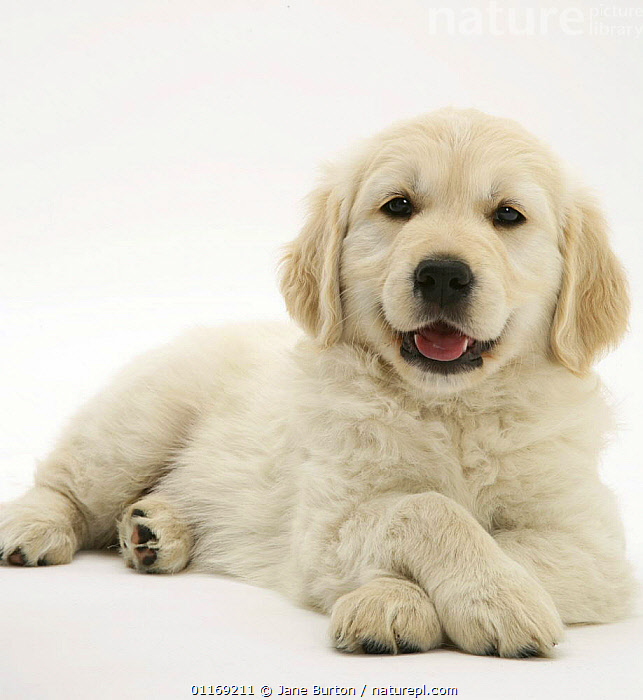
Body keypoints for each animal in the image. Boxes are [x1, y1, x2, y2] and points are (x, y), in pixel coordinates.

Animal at [0, 108, 632, 656]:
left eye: (507, 215)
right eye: (398, 206)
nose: (442, 274)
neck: (447, 408)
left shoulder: (591, 545)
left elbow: (506, 543)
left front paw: (461, 598)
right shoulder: (328, 524)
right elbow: (423, 508)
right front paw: (438, 600)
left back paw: (157, 530)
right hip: (138, 421)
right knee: (67, 483)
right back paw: (33, 528)